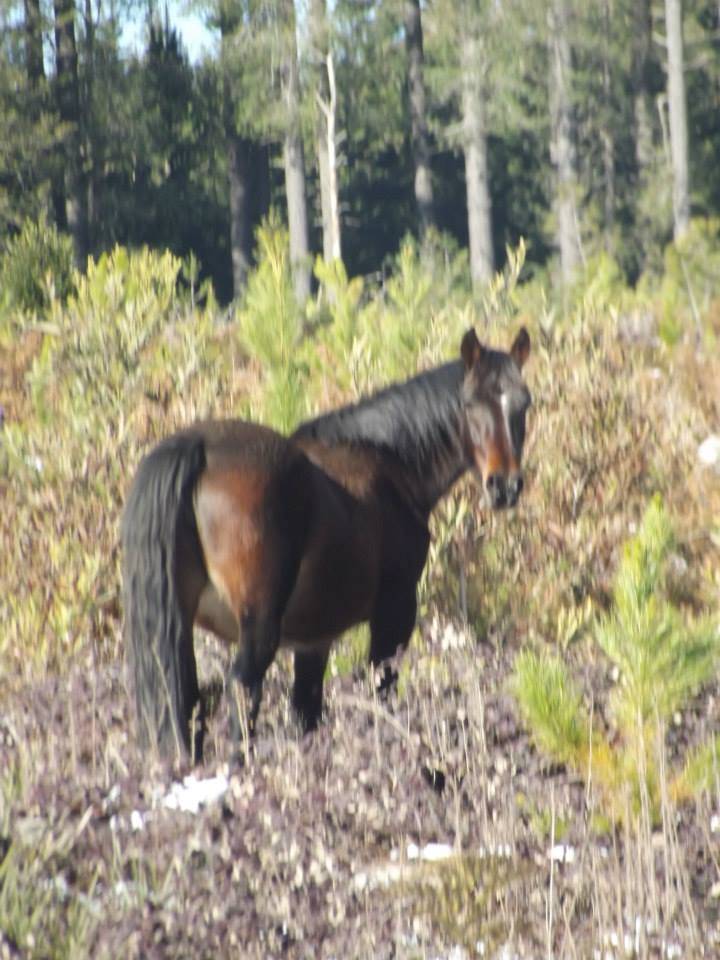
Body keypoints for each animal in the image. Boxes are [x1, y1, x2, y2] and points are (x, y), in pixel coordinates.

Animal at [121, 326, 532, 760]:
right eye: (470, 403)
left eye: (524, 403)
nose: (505, 486)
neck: (387, 461)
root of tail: (200, 450)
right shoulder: (394, 613)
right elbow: (381, 691)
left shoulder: (313, 642)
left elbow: (306, 713)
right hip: (259, 628)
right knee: (242, 692)